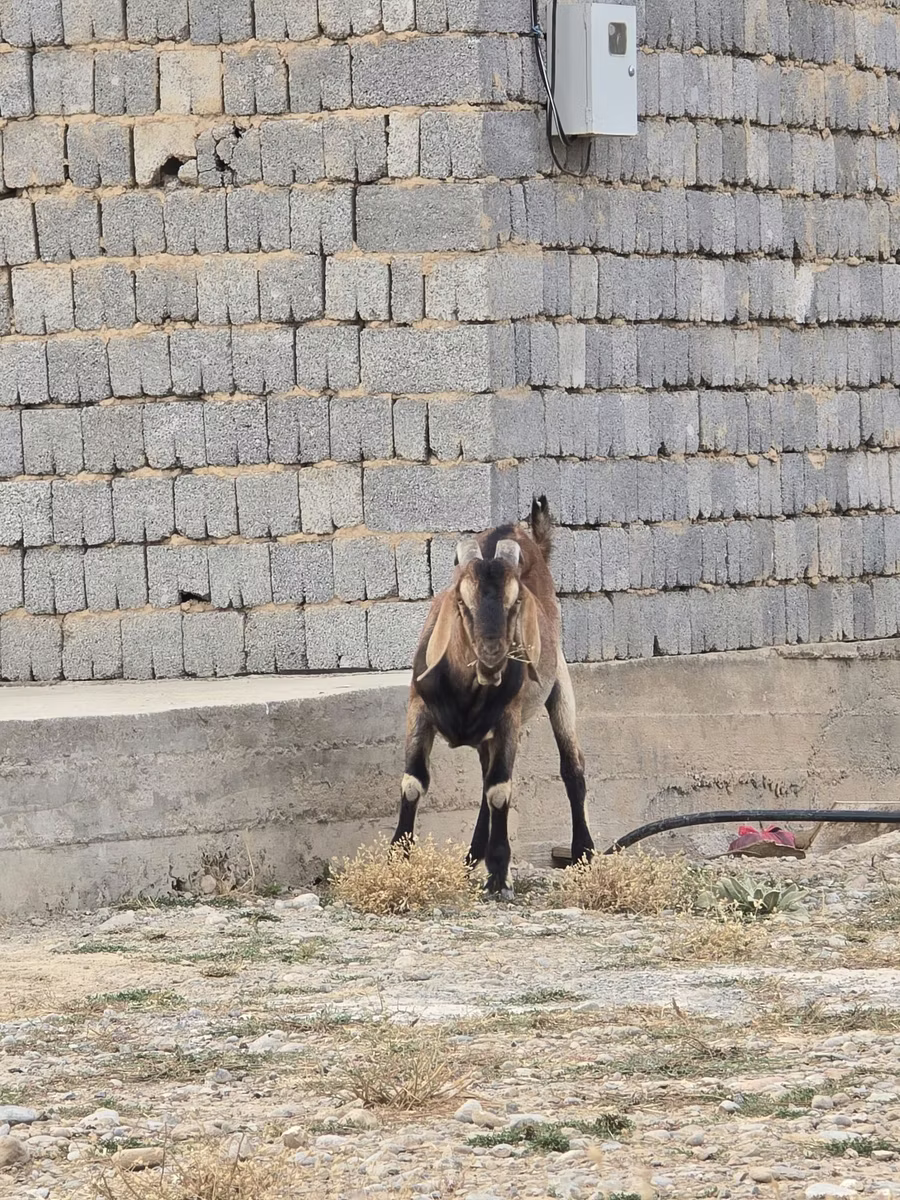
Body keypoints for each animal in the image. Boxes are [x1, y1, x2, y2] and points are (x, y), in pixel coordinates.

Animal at [391, 496, 594, 897]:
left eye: (515, 603)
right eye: (461, 601)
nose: (492, 658)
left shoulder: (508, 721)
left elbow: (500, 790)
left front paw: (499, 875)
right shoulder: (418, 709)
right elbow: (413, 783)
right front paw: (397, 859)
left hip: (559, 687)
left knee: (572, 767)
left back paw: (583, 853)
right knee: (486, 781)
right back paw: (472, 856)